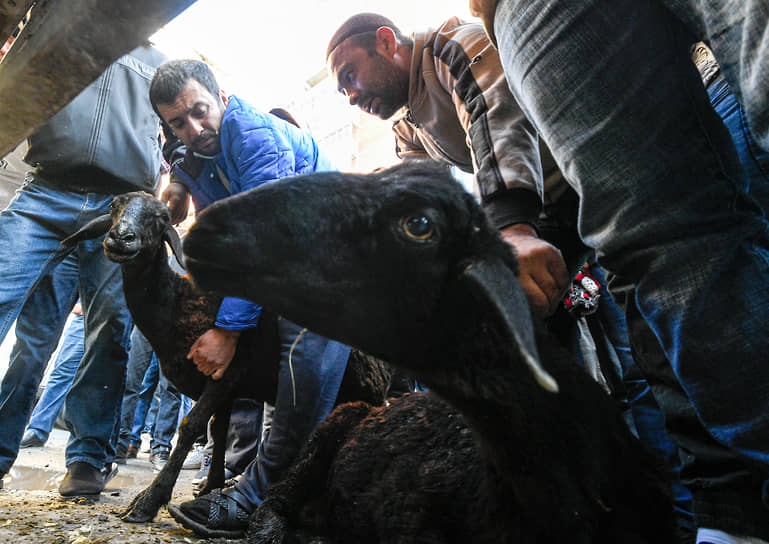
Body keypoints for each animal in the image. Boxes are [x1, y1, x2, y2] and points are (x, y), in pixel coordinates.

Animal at [63, 193, 392, 524]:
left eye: (161, 218)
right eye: (113, 206)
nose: (121, 237)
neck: (176, 302)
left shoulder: (227, 369)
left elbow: (192, 426)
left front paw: (148, 501)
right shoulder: (222, 385)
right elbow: (219, 432)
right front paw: (212, 486)